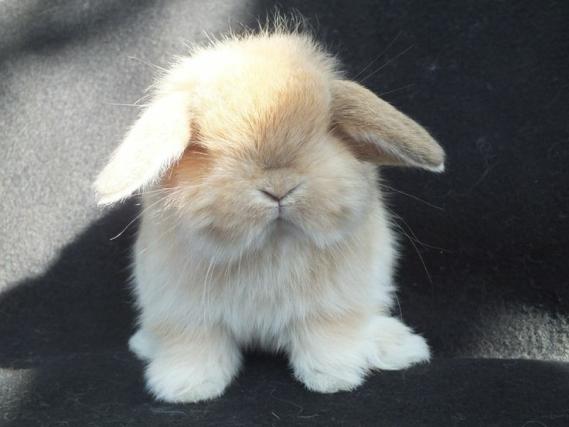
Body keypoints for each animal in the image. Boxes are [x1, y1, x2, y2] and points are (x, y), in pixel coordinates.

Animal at [94, 28, 445, 403]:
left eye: (325, 129)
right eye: (202, 145)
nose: (279, 188)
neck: (272, 244)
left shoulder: (330, 306)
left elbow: (327, 337)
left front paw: (335, 377)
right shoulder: (185, 312)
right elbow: (194, 346)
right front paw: (186, 388)